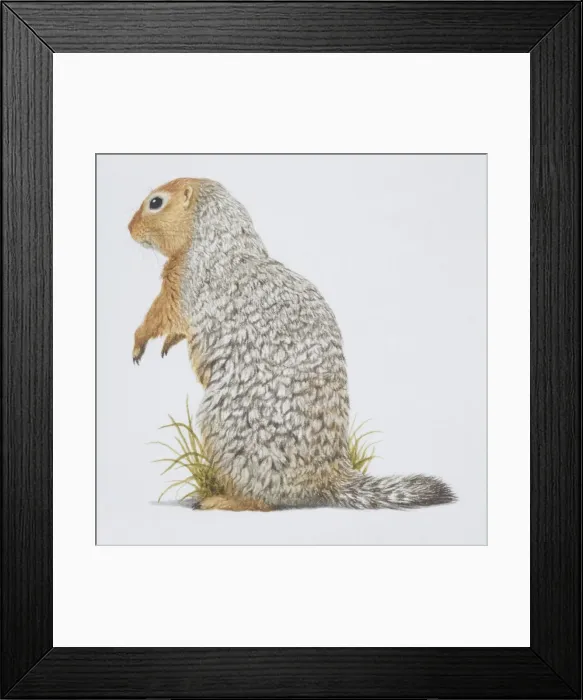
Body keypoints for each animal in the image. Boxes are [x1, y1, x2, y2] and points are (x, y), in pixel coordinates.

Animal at [128, 178, 456, 512]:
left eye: (155, 202)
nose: (128, 228)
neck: (217, 241)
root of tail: (328, 476)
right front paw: (163, 346)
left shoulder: (182, 283)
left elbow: (161, 315)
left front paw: (138, 343)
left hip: (223, 429)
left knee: (263, 501)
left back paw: (220, 499)